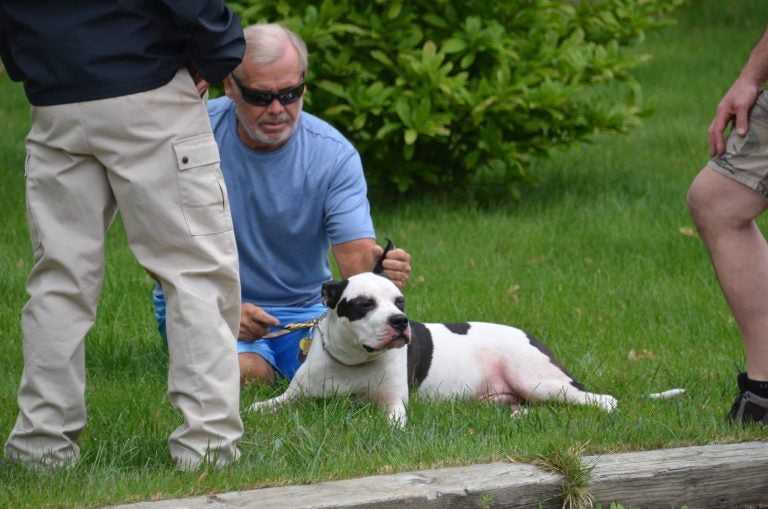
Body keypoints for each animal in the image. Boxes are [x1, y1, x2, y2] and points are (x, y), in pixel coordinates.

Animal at [249, 270, 616, 424]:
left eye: (400, 300)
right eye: (365, 304)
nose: (400, 321)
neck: (352, 362)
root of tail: (530, 335)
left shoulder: (393, 403)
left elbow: (391, 421)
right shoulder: (293, 397)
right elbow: (260, 407)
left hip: (538, 380)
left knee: (603, 400)